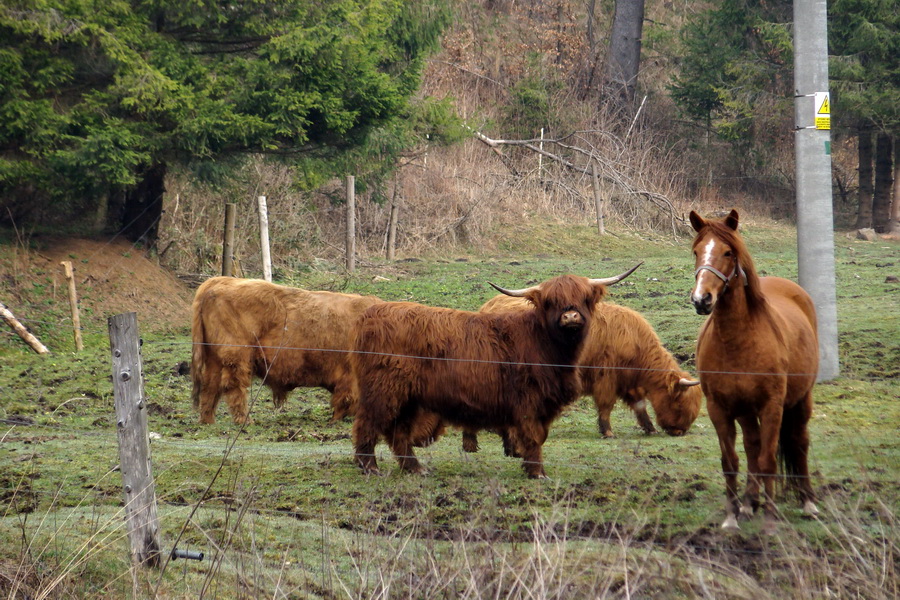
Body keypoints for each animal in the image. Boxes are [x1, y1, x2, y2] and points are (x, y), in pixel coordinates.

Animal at [192, 278, 382, 424]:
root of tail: (222, 280)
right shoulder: (350, 375)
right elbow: (347, 398)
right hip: (236, 356)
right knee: (233, 387)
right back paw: (244, 420)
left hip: (215, 359)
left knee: (210, 387)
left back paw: (208, 421)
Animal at [348, 264, 636, 478]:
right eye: (550, 302)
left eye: (583, 298)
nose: (571, 316)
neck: (552, 350)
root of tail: (373, 313)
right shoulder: (528, 400)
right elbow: (533, 436)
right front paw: (537, 472)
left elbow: (539, 436)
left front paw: (530, 467)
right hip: (383, 390)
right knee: (367, 423)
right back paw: (369, 467)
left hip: (409, 398)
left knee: (399, 432)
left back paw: (415, 468)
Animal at [464, 300, 704, 454]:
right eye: (679, 402)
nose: (680, 432)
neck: (635, 343)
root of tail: (488, 305)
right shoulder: (606, 377)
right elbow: (606, 406)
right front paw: (607, 431)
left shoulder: (628, 382)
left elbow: (640, 405)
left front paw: (650, 428)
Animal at [688, 211, 824, 536]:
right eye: (696, 252)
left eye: (728, 252)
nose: (702, 300)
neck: (738, 340)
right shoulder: (719, 408)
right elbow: (732, 460)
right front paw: (731, 517)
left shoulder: (772, 406)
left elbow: (769, 460)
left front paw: (771, 521)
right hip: (745, 410)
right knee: (751, 445)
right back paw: (750, 503)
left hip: (801, 401)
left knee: (799, 441)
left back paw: (808, 503)